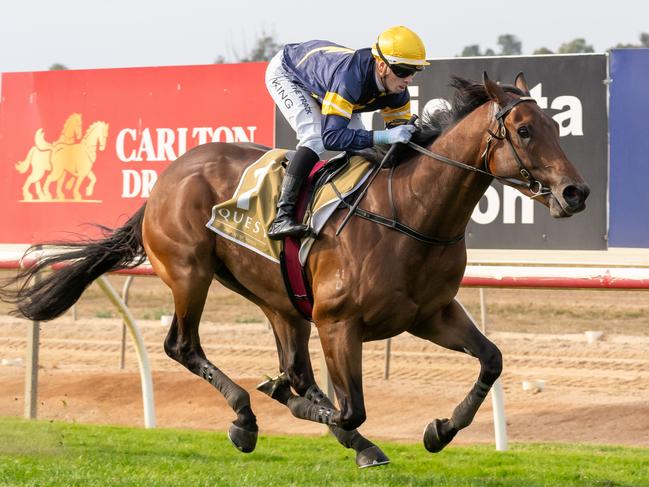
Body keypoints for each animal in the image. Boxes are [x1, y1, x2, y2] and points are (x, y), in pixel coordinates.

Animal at [0, 71, 588, 466]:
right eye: (524, 130)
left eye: (555, 125)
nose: (575, 192)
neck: (410, 211)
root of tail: (166, 177)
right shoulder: (338, 323)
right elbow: (350, 408)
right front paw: (294, 403)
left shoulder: (431, 314)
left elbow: (491, 360)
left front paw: (441, 429)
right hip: (190, 272)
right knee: (183, 346)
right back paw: (246, 417)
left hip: (279, 299)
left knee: (296, 366)